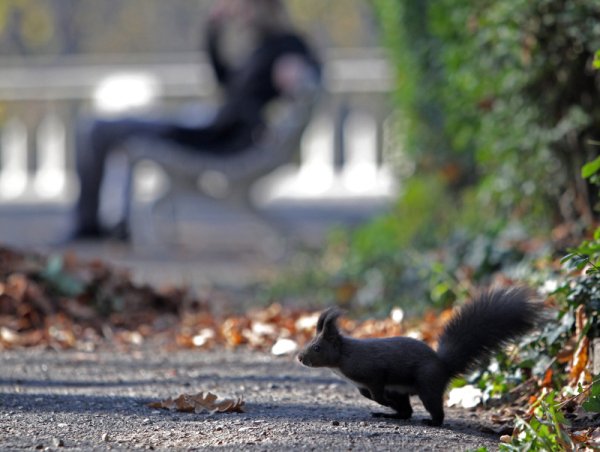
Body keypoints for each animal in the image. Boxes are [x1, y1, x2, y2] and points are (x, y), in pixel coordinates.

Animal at [298, 288, 540, 426]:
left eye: (317, 348)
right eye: (310, 344)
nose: (300, 358)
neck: (342, 359)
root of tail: (443, 366)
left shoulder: (374, 372)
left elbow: (377, 390)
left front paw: (383, 401)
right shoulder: (362, 384)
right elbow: (368, 394)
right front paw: (382, 403)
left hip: (428, 384)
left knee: (432, 408)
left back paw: (431, 421)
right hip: (403, 391)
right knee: (406, 412)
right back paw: (388, 415)